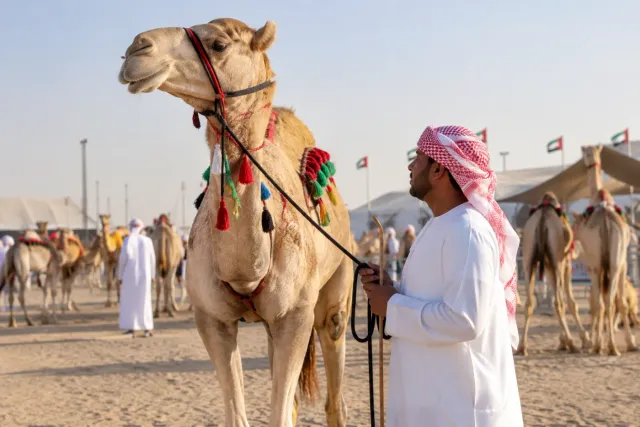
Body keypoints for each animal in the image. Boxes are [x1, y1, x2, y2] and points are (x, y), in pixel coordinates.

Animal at [119, 18, 354, 426]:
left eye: (219, 44)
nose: (137, 48)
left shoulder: (295, 316)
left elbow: (280, 413)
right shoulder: (212, 318)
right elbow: (239, 415)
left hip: (338, 281)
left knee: (333, 364)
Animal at [517, 192, 590, 356]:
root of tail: (542, 220)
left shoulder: (549, 266)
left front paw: (562, 342)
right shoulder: (565, 264)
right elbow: (571, 302)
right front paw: (584, 340)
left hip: (528, 258)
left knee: (529, 302)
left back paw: (522, 346)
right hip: (557, 259)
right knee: (559, 303)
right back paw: (573, 344)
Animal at [571, 145, 637, 356]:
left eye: (585, 153)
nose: (585, 161)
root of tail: (607, 222)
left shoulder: (593, 264)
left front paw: (596, 342)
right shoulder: (621, 264)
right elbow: (618, 301)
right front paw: (630, 343)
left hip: (598, 264)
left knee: (602, 302)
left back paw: (603, 345)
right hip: (615, 263)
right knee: (612, 301)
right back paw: (613, 346)